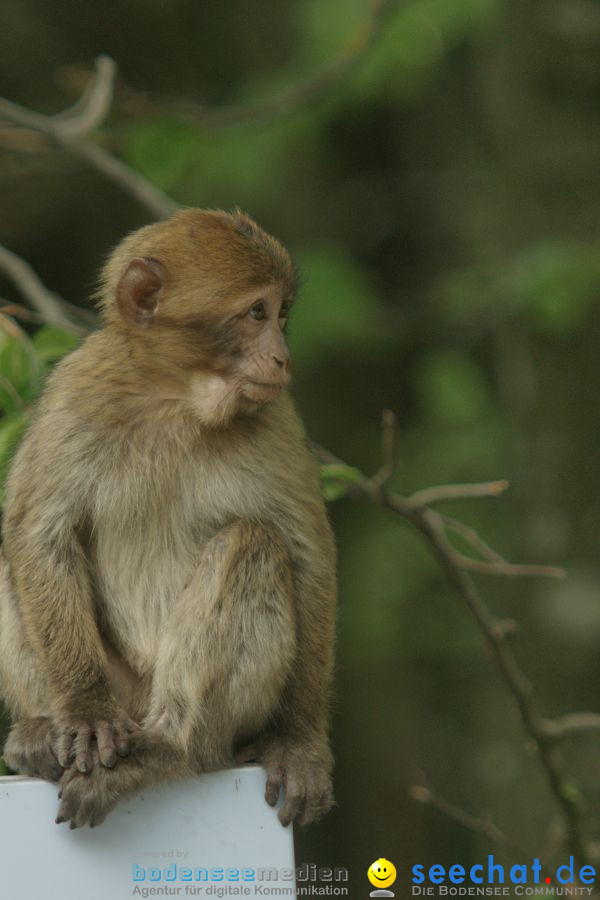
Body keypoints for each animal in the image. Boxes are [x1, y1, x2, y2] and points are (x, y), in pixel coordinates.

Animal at [0, 207, 338, 828]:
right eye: (257, 313)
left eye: (282, 314)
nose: (282, 358)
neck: (176, 398)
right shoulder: (75, 395)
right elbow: (40, 534)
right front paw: (86, 710)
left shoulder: (276, 416)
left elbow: (308, 559)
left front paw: (300, 744)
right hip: (122, 687)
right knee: (12, 555)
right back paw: (40, 733)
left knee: (252, 542)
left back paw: (172, 747)